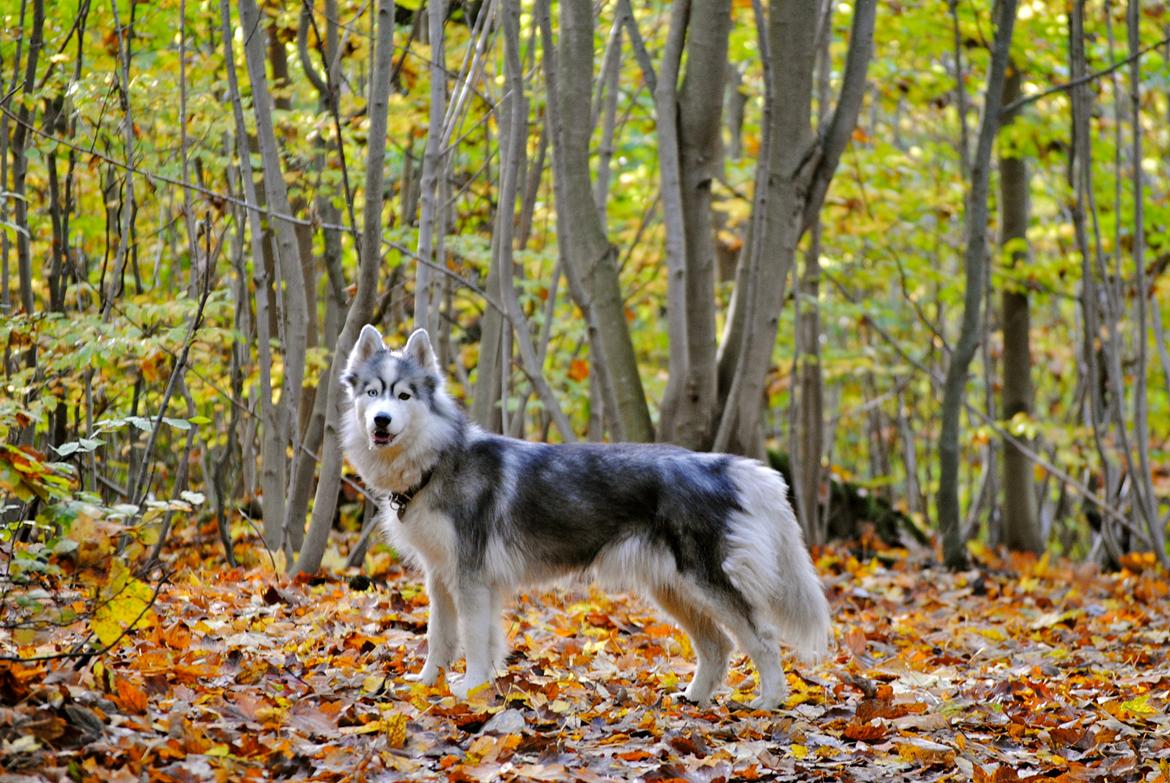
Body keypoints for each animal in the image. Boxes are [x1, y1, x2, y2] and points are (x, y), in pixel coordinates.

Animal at [341, 323, 833, 706]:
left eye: (404, 395)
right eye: (372, 393)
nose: (381, 420)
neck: (437, 461)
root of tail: (727, 465)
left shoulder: (471, 578)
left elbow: (475, 639)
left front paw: (471, 687)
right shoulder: (441, 576)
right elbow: (439, 636)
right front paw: (427, 684)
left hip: (705, 583)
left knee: (763, 639)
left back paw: (769, 702)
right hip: (673, 588)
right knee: (718, 644)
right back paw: (694, 697)